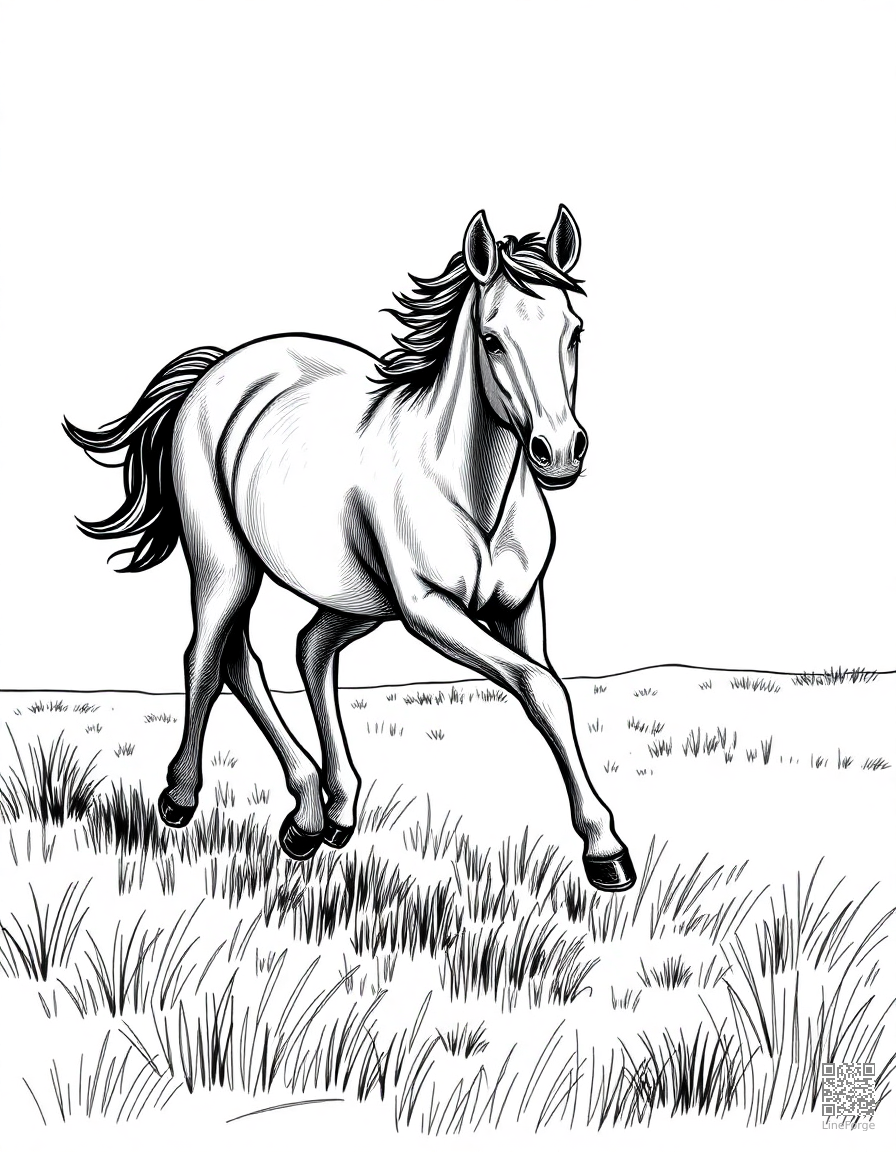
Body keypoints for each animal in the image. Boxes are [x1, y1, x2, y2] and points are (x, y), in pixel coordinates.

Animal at [64, 205, 636, 892]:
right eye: (493, 339)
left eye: (573, 332)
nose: (561, 452)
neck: (469, 488)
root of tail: (220, 369)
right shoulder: (429, 610)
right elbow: (537, 686)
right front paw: (606, 850)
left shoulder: (519, 608)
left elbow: (549, 694)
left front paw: (604, 846)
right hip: (226, 565)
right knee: (209, 656)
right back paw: (183, 799)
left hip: (356, 599)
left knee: (294, 651)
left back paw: (320, 813)